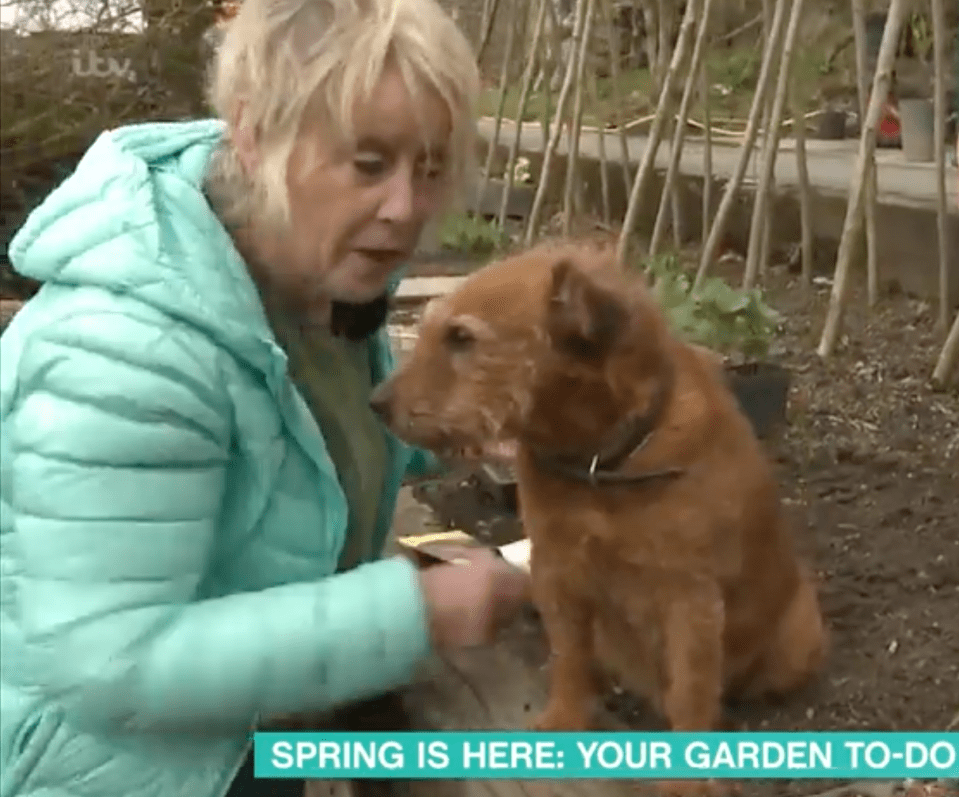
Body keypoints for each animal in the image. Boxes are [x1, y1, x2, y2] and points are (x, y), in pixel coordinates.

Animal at [372, 239, 828, 792]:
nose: (375, 404)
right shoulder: (556, 570)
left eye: (462, 337)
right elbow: (569, 659)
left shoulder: (690, 599)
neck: (598, 466)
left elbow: (691, 691)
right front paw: (565, 719)